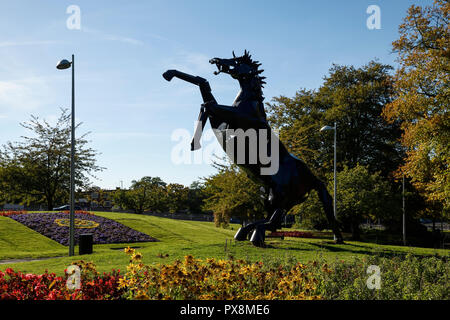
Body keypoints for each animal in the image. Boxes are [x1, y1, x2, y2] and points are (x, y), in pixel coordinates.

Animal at [163, 50, 342, 246]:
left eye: (236, 60)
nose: (214, 60)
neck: (249, 103)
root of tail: (312, 177)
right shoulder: (220, 125)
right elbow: (204, 85)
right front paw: (169, 73)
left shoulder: (227, 120)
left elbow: (208, 105)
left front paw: (193, 144)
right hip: (270, 195)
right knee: (272, 220)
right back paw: (246, 232)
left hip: (282, 195)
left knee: (274, 222)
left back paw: (254, 235)